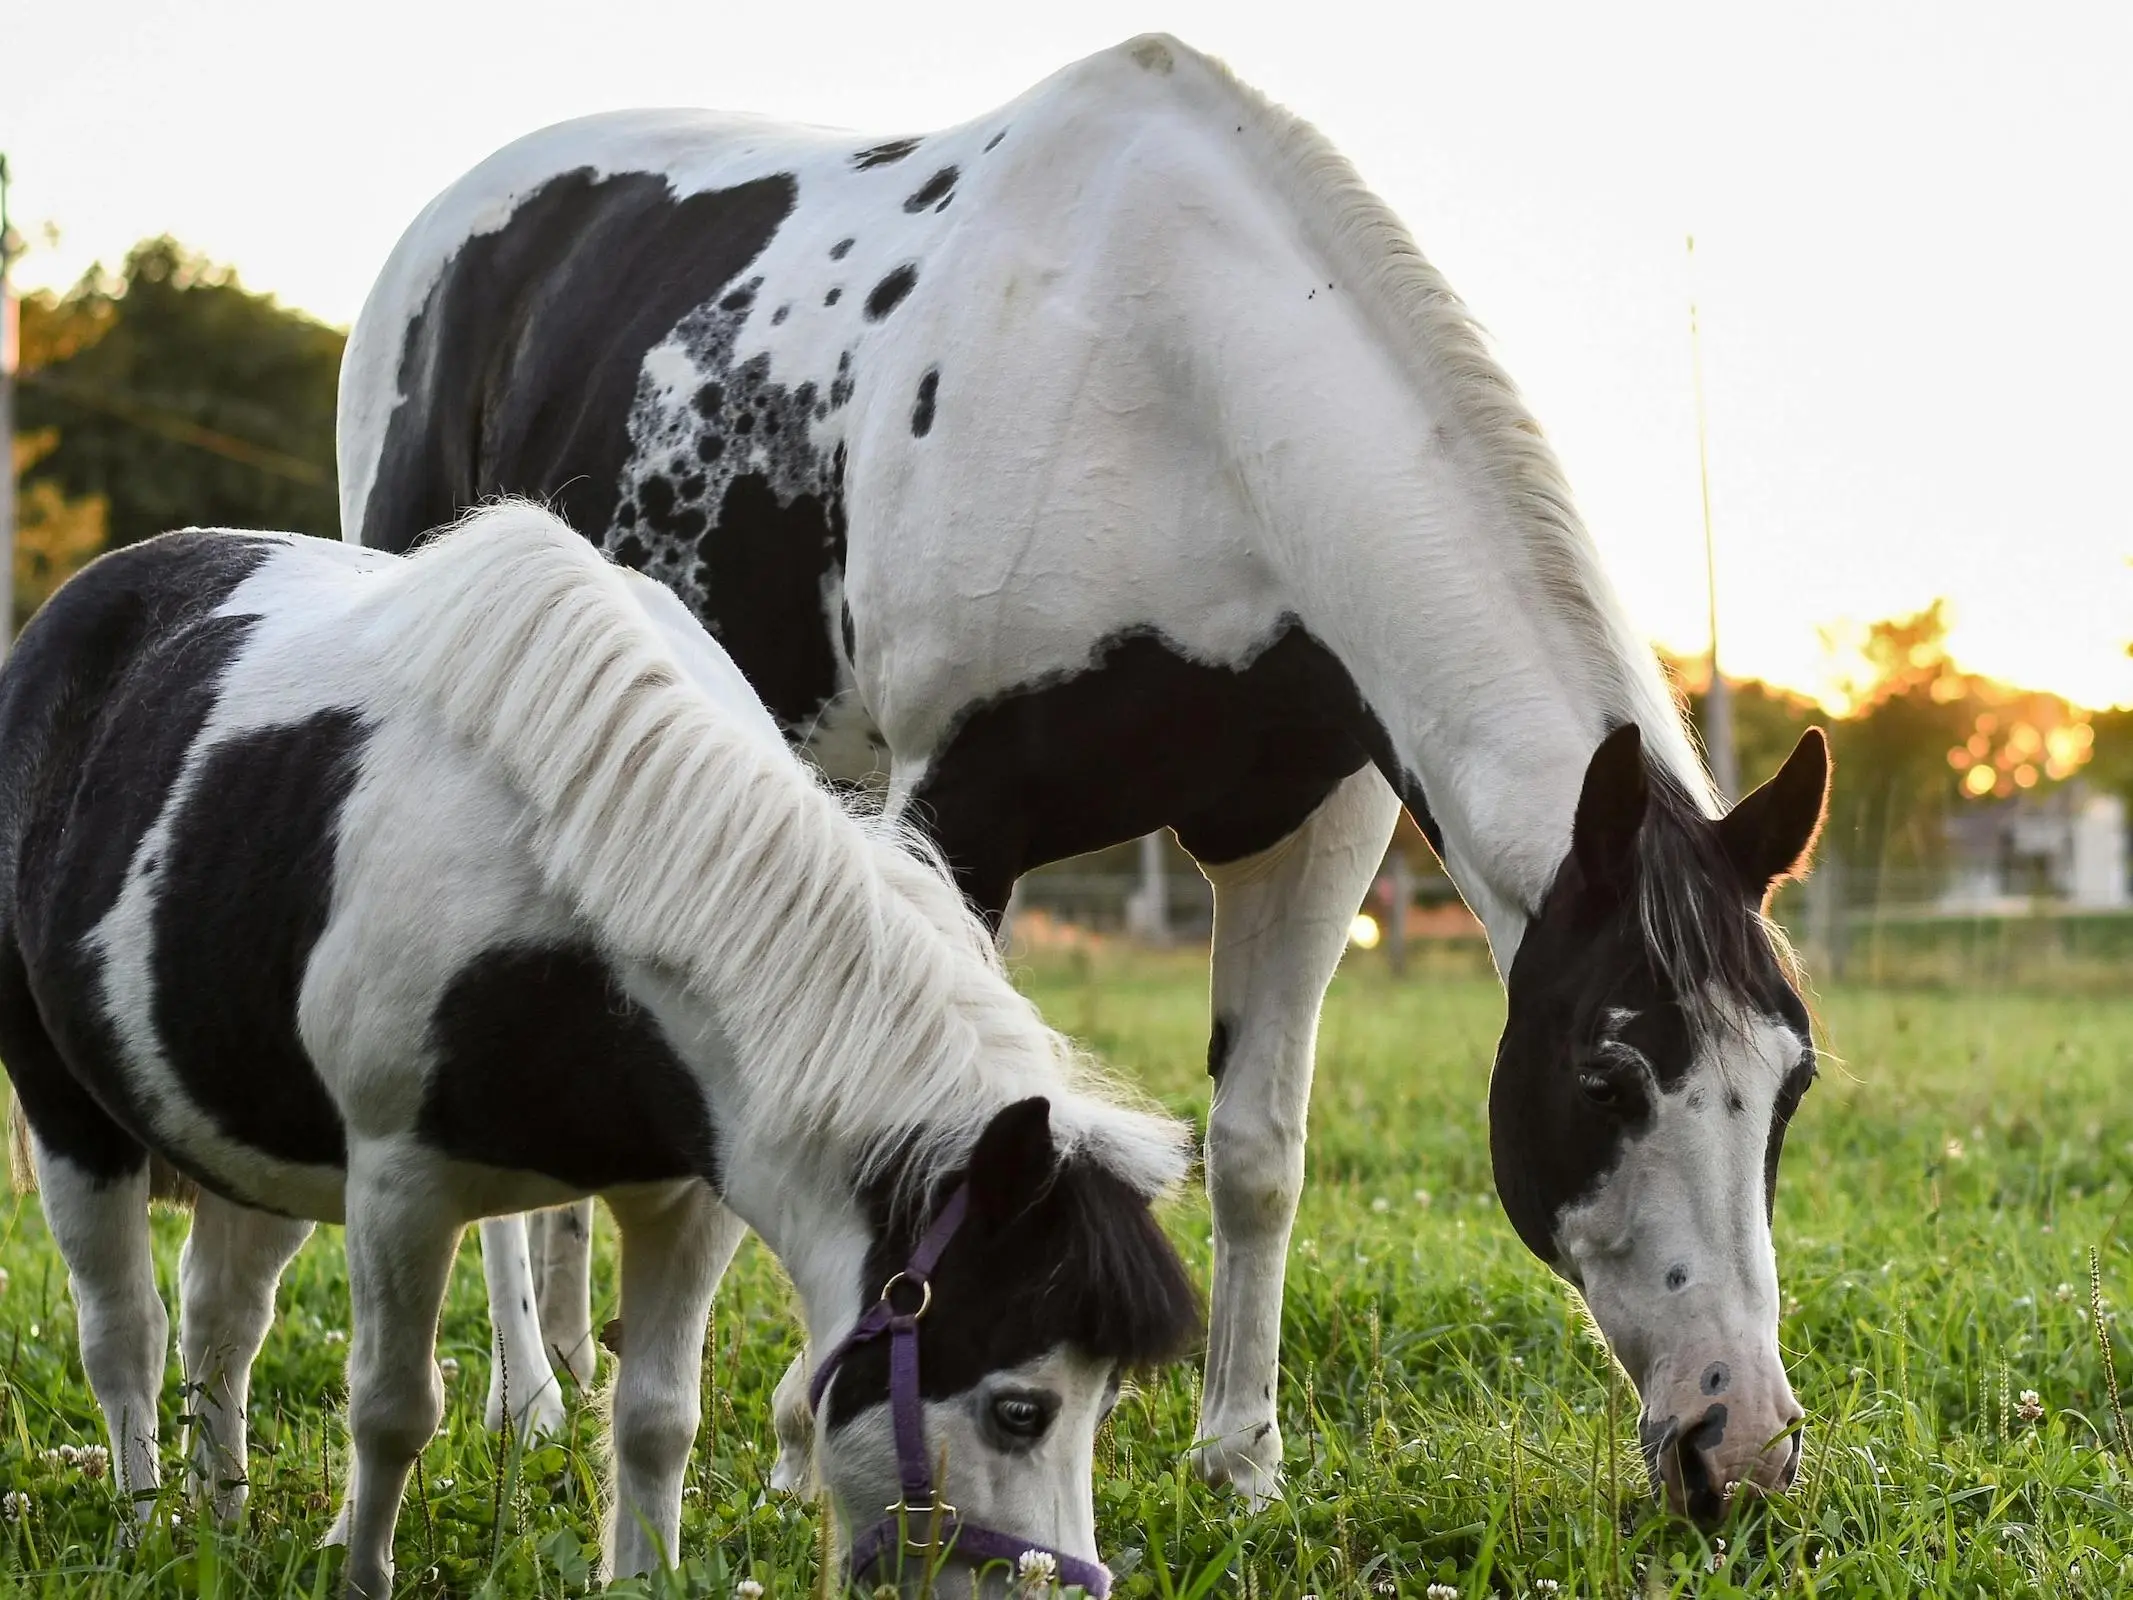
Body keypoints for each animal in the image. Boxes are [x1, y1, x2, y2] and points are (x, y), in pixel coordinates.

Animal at [0, 507, 1203, 1595]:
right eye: (1021, 1408)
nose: (1049, 1587)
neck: (582, 883)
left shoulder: (690, 1198)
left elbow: (656, 1418)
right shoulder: (398, 1187)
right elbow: (393, 1411)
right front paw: (361, 1572)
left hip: (252, 1145)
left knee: (222, 1324)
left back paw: (220, 1524)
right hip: (72, 1119)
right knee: (127, 1335)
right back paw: (140, 1528)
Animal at [337, 31, 1834, 1518]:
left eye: (1794, 1084)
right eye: (1605, 1077)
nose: (1741, 1446)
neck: (1176, 376)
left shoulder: (1308, 837)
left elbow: (1257, 1154)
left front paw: (1239, 1462)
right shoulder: (958, 814)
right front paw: (813, 1446)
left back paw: (570, 1370)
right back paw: (528, 1399)